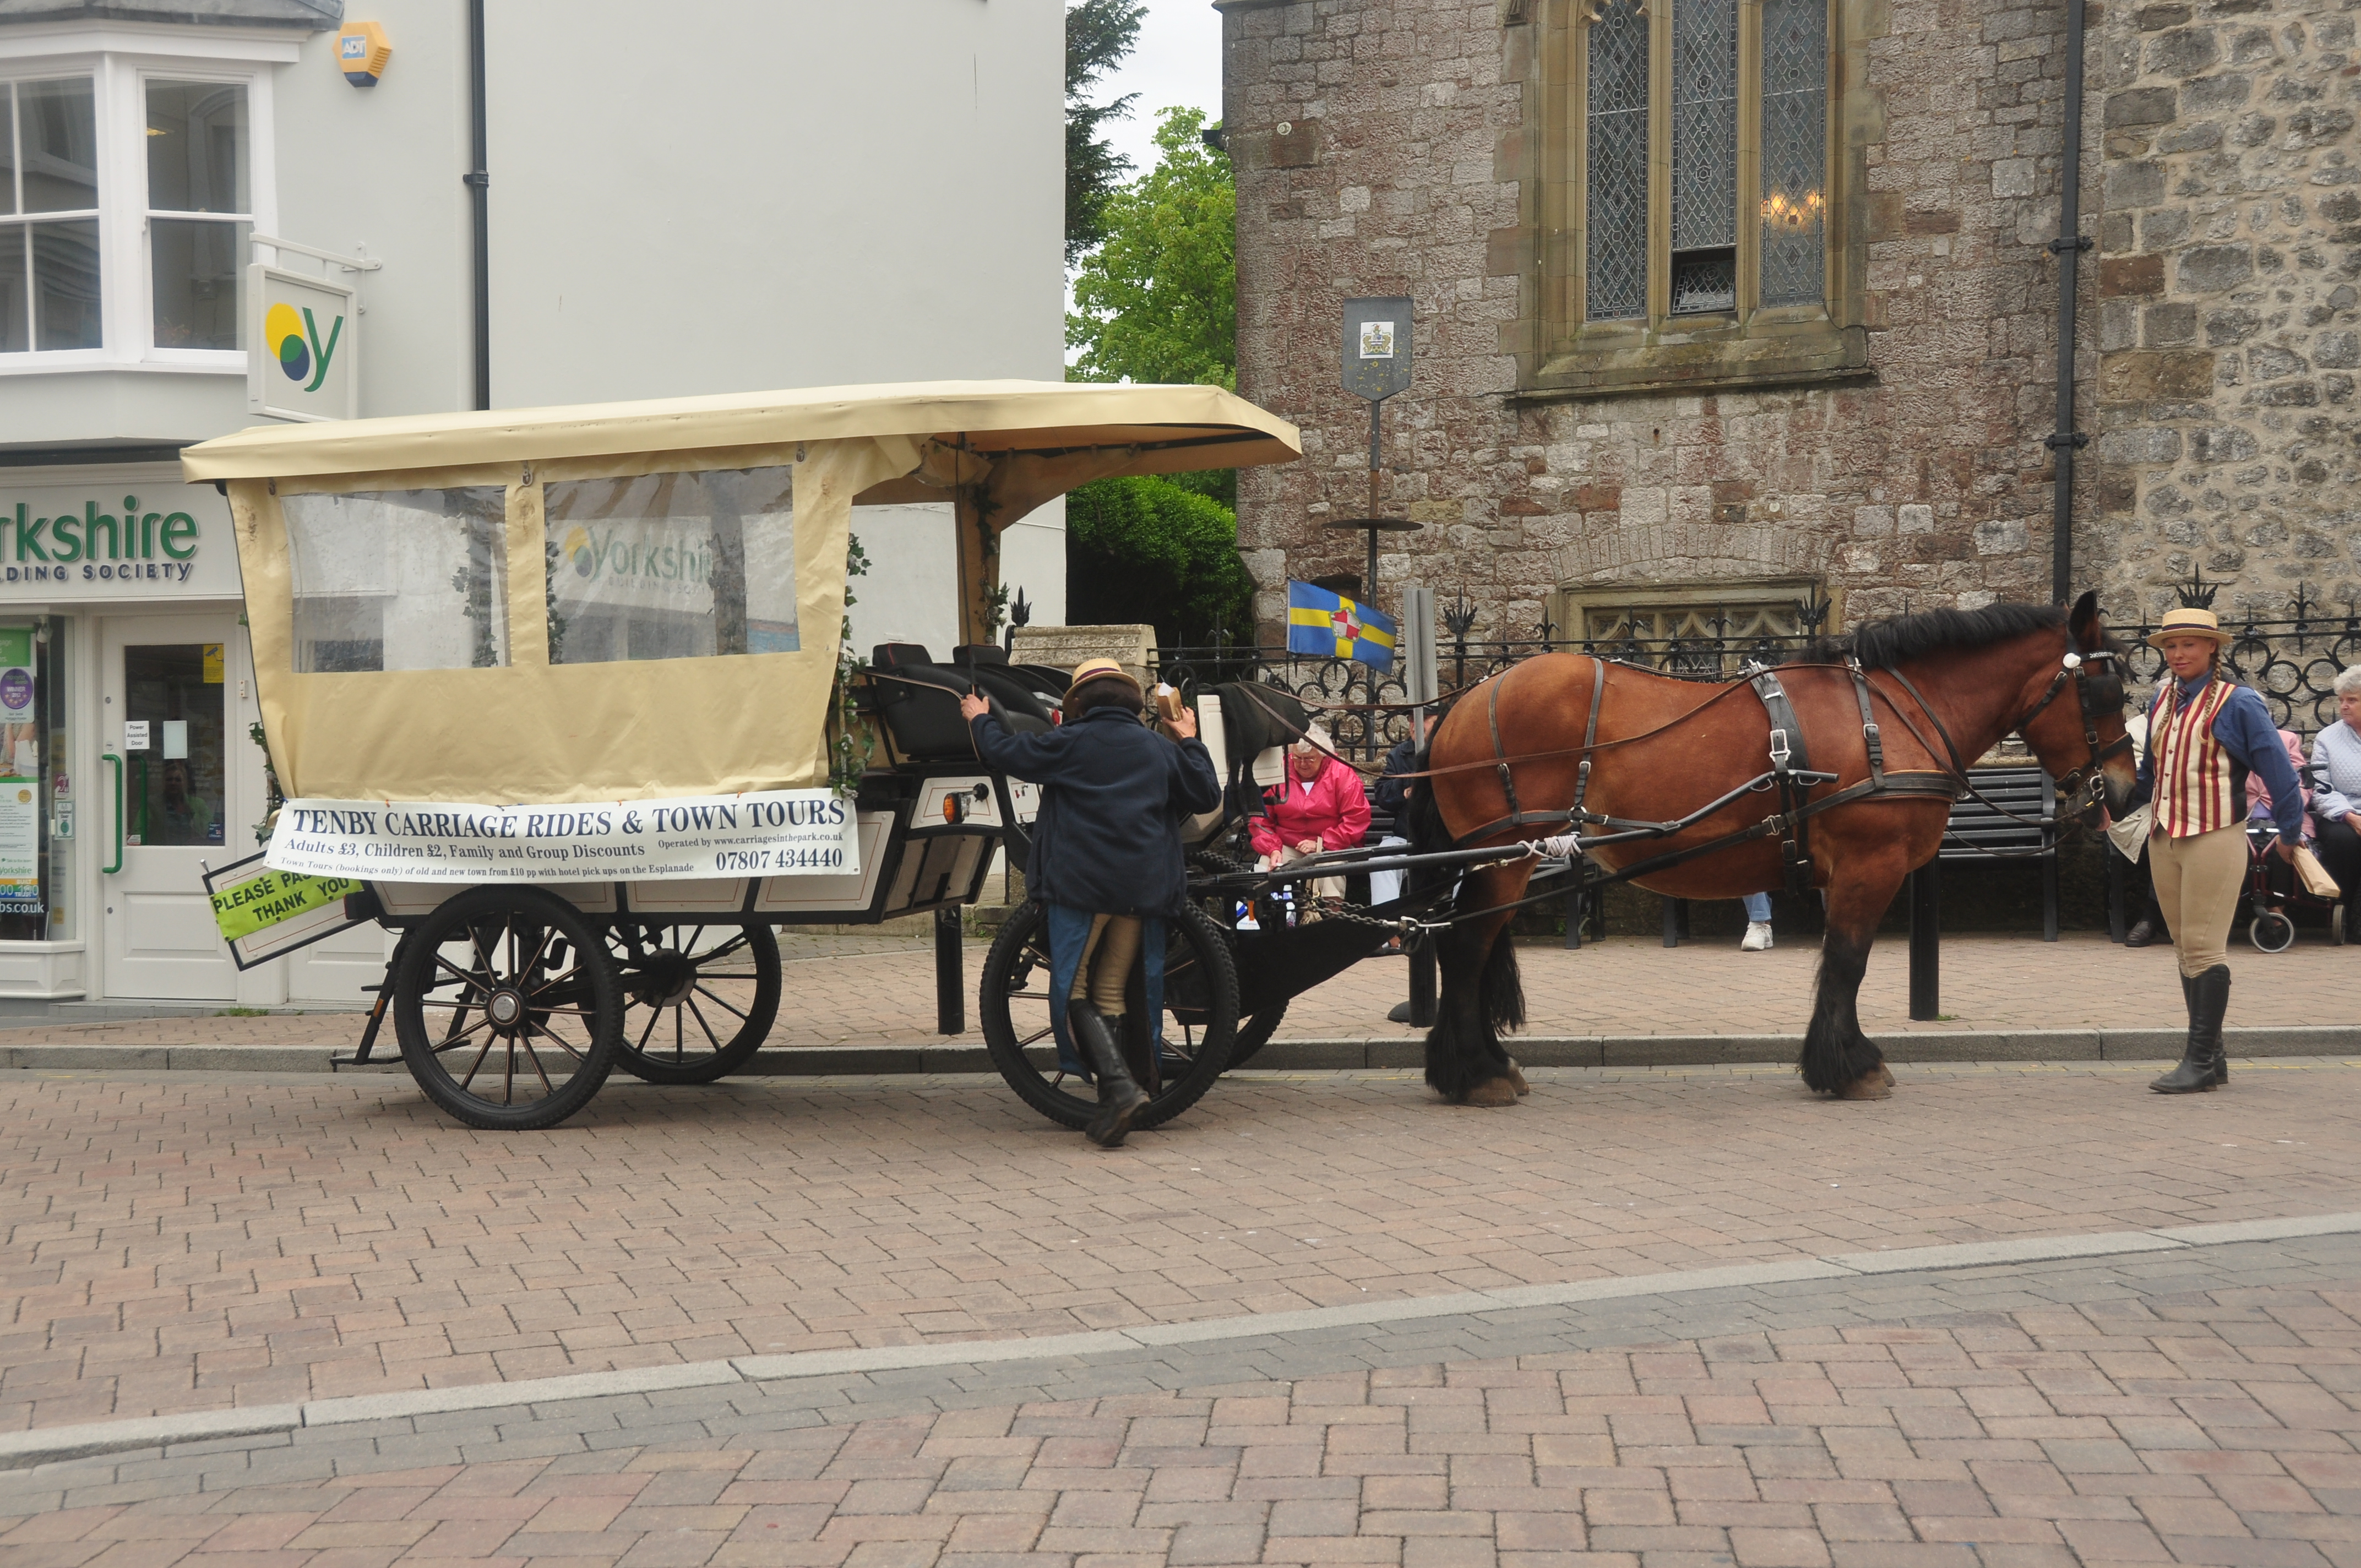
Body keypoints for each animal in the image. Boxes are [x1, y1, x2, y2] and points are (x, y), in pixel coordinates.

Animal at [1397, 597, 2144, 1100]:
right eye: (2105, 688)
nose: (2126, 790)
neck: (1888, 714)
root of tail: (1463, 702)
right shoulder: (1868, 865)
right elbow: (1847, 963)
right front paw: (1849, 1066)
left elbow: (1841, 964)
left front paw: (1837, 1059)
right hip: (1505, 855)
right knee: (1463, 949)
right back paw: (1474, 1075)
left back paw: (1481, 1064)